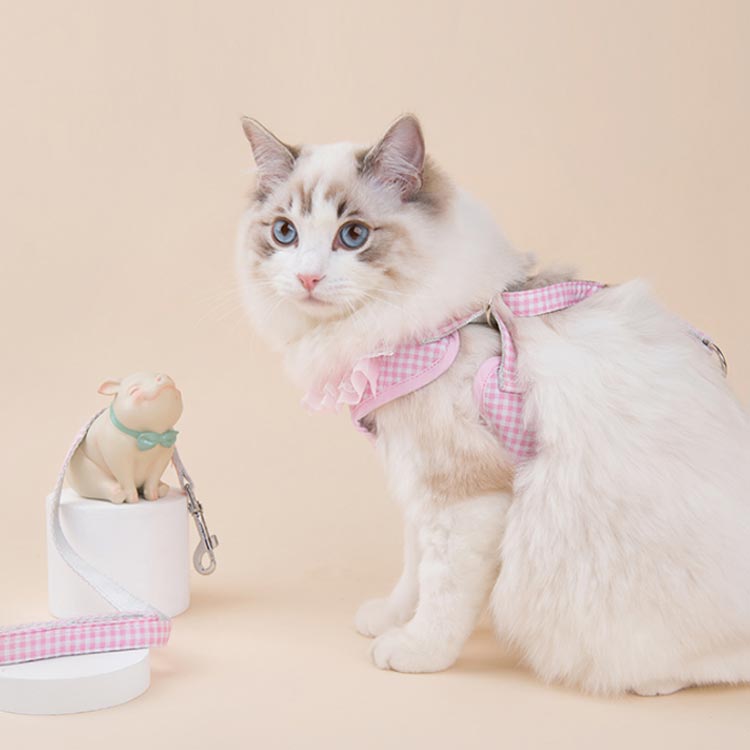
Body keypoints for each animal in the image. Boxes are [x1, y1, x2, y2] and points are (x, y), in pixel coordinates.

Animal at [236, 114, 750, 696]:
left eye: (353, 236)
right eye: (285, 233)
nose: (307, 277)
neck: (439, 324)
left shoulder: (463, 495)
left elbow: (442, 591)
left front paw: (415, 650)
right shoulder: (417, 483)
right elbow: (413, 570)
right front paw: (389, 618)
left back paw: (652, 683)